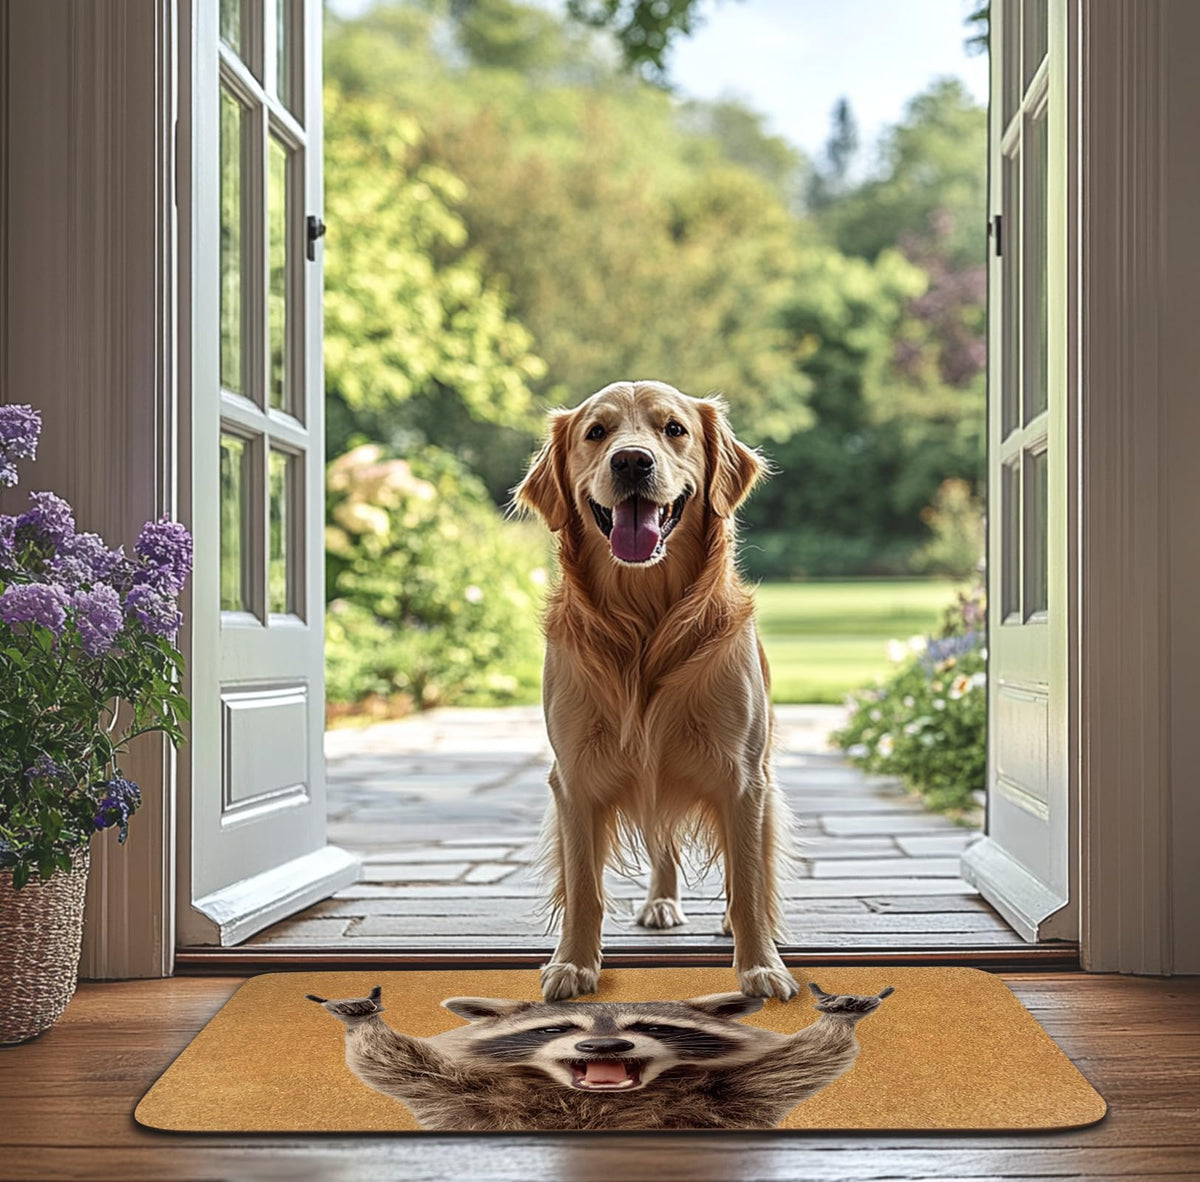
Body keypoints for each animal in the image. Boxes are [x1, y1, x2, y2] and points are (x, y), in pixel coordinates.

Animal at [306, 981, 893, 1131]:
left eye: (652, 1026)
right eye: (558, 1027)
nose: (604, 1046)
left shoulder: (735, 1092)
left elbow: (802, 1062)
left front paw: (839, 1020)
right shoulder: (466, 1095)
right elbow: (396, 1063)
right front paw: (362, 1020)